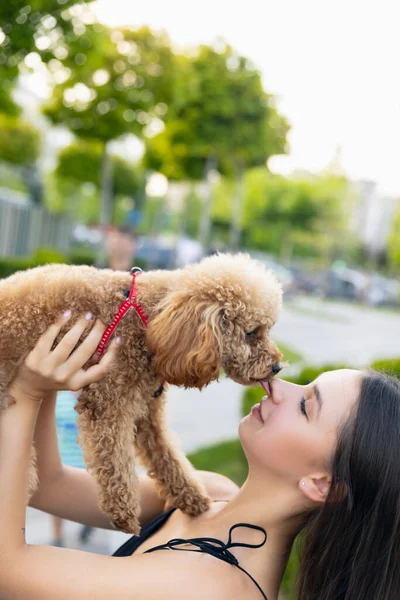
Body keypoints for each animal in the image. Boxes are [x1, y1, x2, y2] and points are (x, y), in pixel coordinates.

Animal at [0, 251, 282, 532]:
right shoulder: (108, 402)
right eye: (251, 332)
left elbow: (165, 453)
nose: (277, 366)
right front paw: (124, 512)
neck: (150, 321)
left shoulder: (148, 410)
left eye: (268, 329)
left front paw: (193, 497)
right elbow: (116, 459)